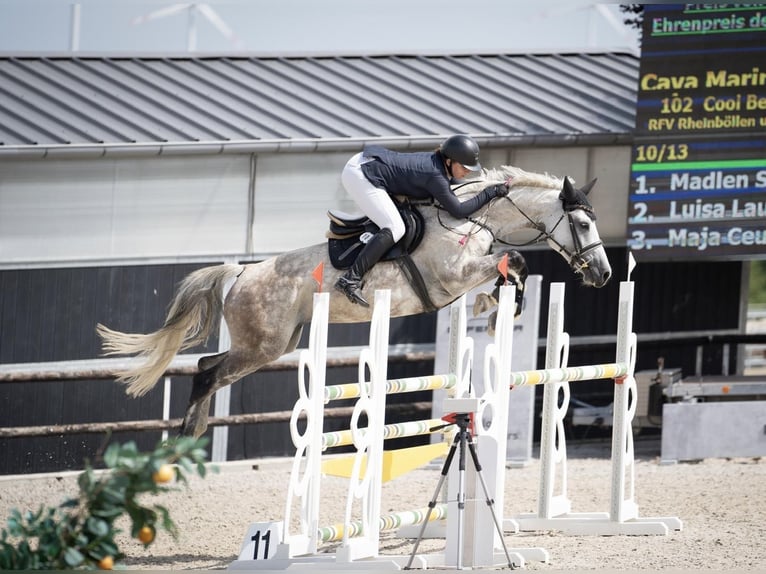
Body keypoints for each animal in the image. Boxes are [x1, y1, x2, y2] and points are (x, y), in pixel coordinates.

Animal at [97, 164, 612, 438]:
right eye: (583, 224)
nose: (604, 274)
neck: (471, 219)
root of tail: (242, 272)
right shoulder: (451, 279)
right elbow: (515, 261)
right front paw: (492, 312)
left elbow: (510, 268)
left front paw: (493, 308)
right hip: (262, 345)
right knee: (207, 372)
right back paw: (185, 438)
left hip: (278, 343)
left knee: (208, 366)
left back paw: (194, 431)